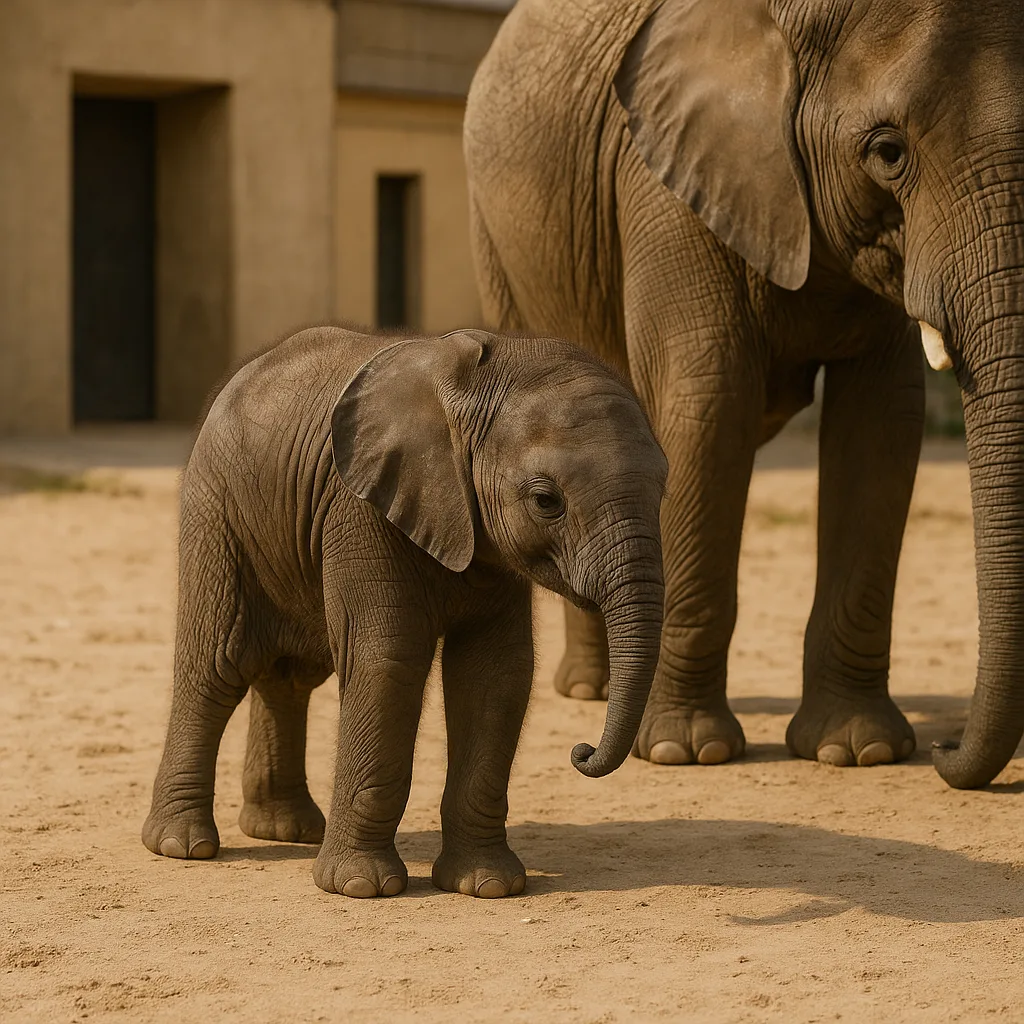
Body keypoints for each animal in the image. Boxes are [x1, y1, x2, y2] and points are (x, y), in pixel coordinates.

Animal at [142, 325, 667, 898]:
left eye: (663, 489)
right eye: (546, 501)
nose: (581, 751)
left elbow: (496, 674)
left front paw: (488, 885)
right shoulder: (358, 507)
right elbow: (389, 662)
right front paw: (360, 887)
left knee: (290, 676)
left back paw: (286, 830)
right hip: (217, 508)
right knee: (217, 666)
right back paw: (182, 847)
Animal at [465, 0, 1024, 787]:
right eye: (887, 151)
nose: (945, 750)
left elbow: (882, 419)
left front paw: (857, 751)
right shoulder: (664, 185)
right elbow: (710, 404)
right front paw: (684, 751)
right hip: (498, 242)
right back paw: (592, 693)